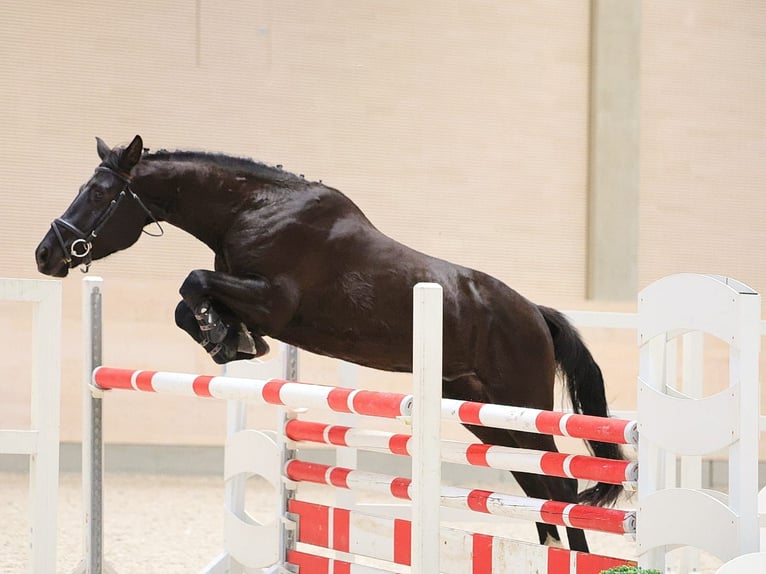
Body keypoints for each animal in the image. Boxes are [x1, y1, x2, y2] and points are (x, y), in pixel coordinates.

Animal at [35, 135, 624, 552]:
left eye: (100, 193)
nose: (46, 254)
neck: (253, 209)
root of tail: (535, 313)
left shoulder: (273, 299)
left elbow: (192, 282)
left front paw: (229, 338)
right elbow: (189, 301)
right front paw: (228, 339)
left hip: (520, 404)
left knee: (561, 490)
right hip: (479, 411)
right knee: (537, 489)